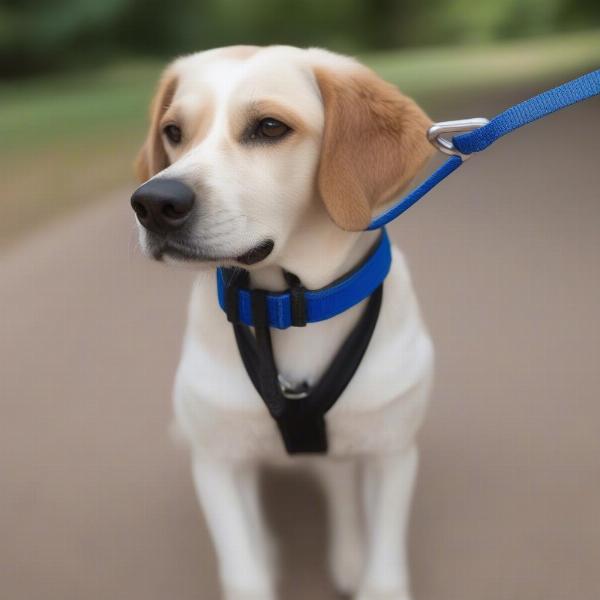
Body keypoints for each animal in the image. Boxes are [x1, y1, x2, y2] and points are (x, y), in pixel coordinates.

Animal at [131, 45, 434, 600]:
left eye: (270, 127)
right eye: (173, 132)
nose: (153, 202)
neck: (288, 307)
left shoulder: (393, 453)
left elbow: (384, 567)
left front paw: (364, 565)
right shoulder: (218, 462)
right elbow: (243, 568)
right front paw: (260, 562)